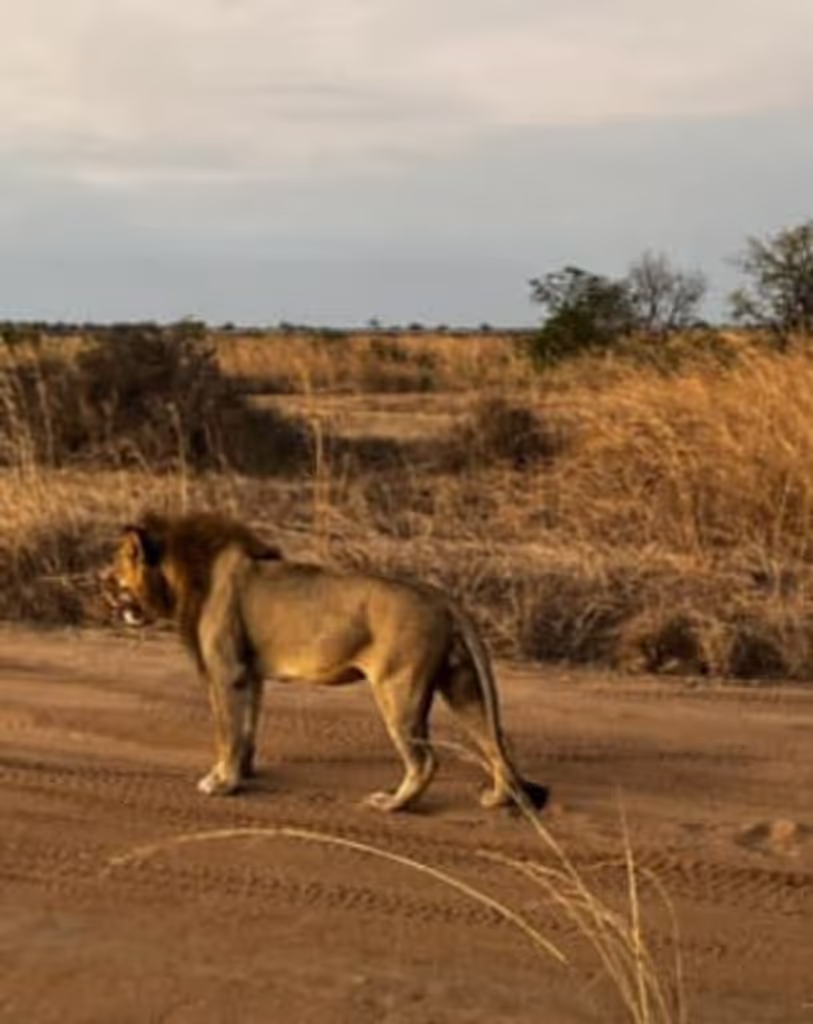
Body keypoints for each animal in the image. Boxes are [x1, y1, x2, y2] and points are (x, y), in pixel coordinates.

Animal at [103, 511, 547, 813]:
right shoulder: (250, 674)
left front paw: (221, 783)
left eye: (118, 566)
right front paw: (243, 775)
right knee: (496, 742)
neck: (184, 575)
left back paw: (392, 804)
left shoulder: (226, 671)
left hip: (398, 688)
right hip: (461, 684)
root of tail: (441, 597)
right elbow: (246, 729)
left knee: (426, 760)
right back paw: (496, 798)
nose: (98, 581)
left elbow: (226, 730)